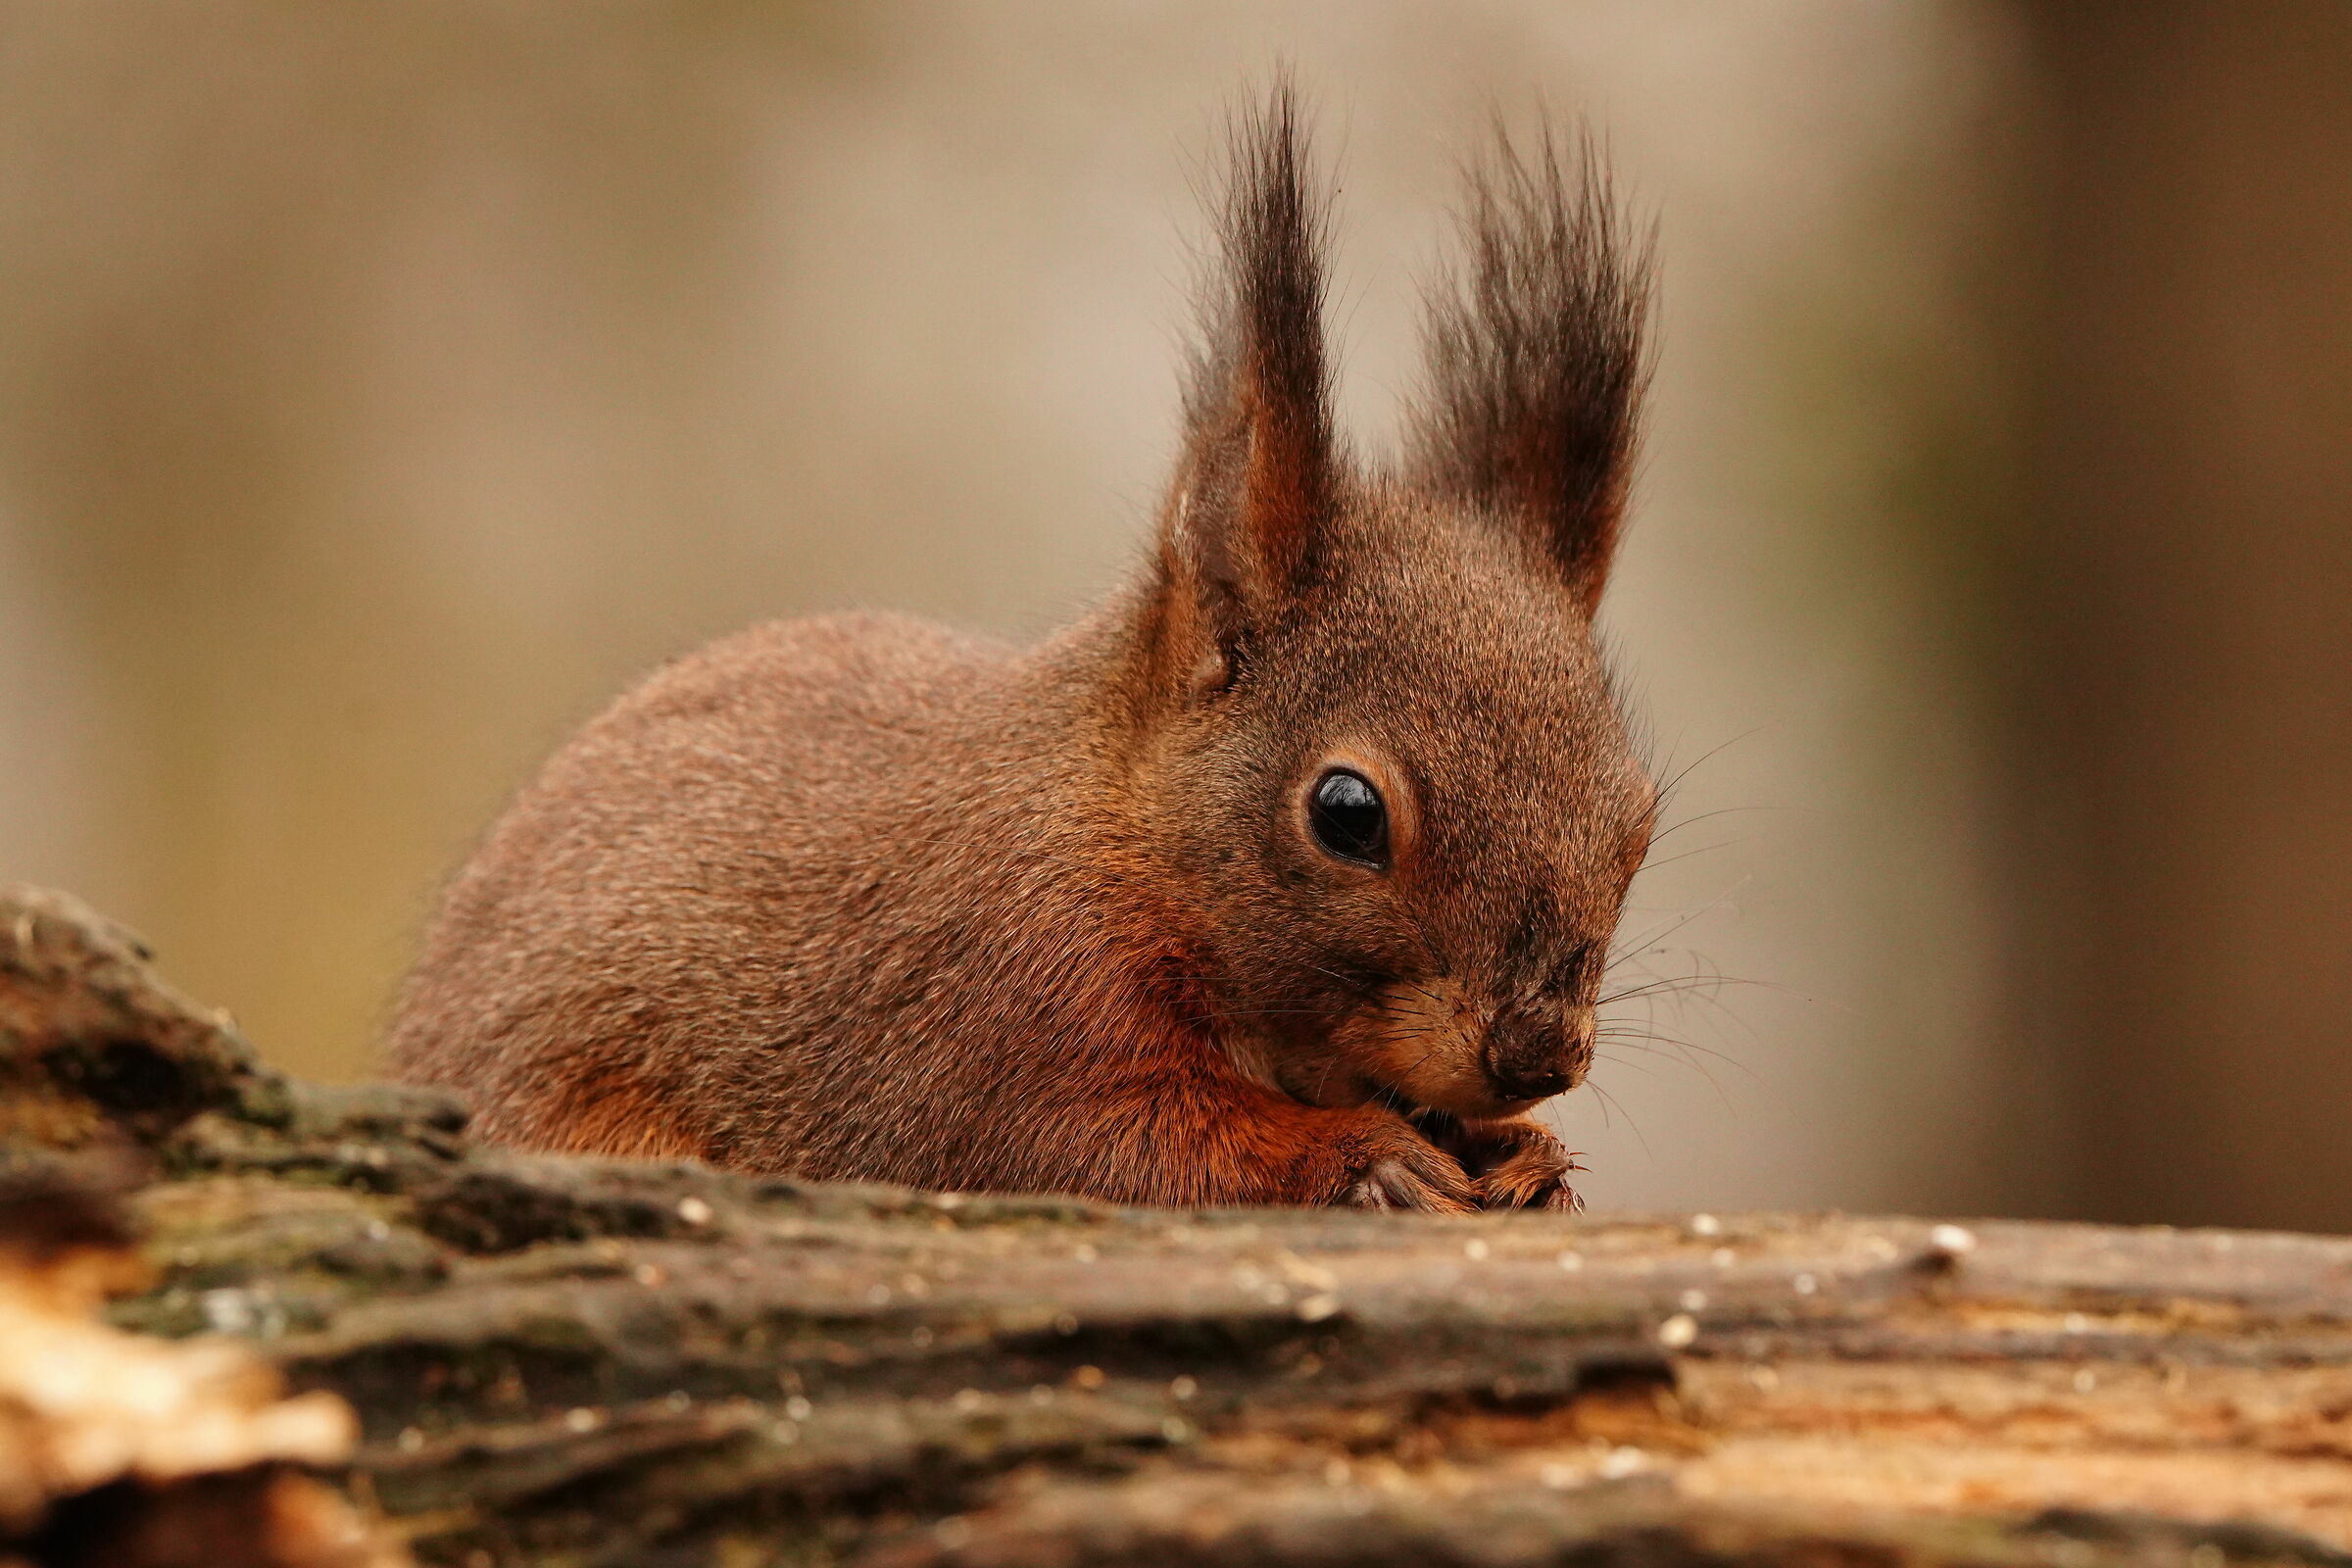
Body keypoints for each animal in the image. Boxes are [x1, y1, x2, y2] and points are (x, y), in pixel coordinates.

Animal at [386, 87, 1658, 1215]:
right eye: (1346, 812)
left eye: (1638, 823)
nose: (1538, 1052)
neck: (1115, 828)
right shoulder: (1000, 1002)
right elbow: (1112, 1145)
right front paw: (1367, 1154)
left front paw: (1529, 1155)